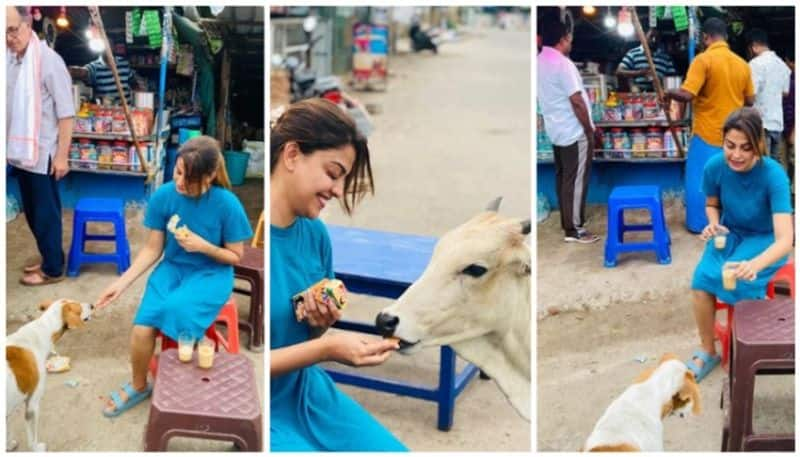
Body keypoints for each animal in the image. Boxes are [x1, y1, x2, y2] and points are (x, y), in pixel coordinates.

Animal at [6, 298, 93, 450]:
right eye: (78, 307)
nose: (92, 305)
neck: (41, 330)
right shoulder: (32, 406)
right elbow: (32, 440)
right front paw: (37, 449)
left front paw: (8, 445)